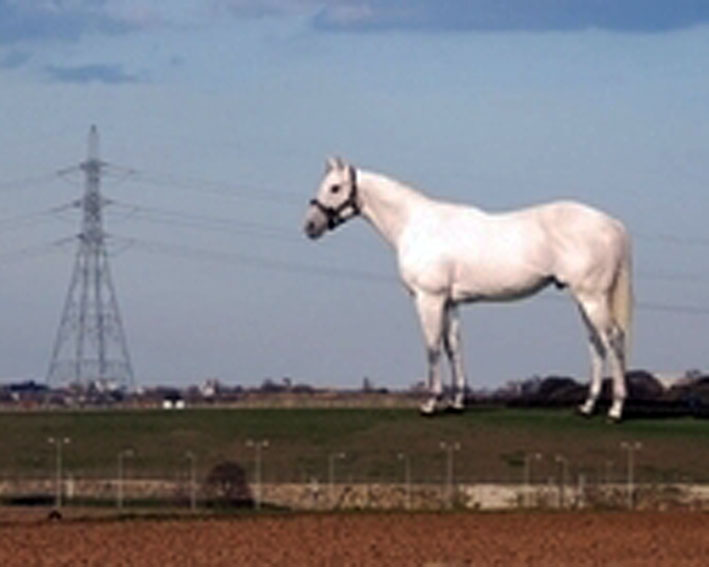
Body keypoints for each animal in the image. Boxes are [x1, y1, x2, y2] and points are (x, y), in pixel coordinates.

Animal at [303, 157, 633, 421]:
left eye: (335, 188)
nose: (309, 226)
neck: (416, 225)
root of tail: (613, 225)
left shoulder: (429, 298)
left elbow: (433, 346)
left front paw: (431, 404)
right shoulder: (450, 302)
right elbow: (453, 346)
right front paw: (457, 402)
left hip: (591, 297)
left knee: (613, 339)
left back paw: (616, 409)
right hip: (583, 298)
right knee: (596, 343)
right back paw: (587, 407)